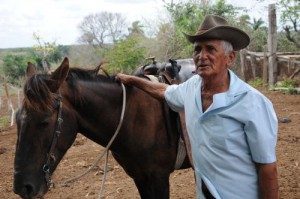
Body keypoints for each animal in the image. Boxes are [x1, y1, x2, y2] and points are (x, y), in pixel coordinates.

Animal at [13, 58, 190, 199]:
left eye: (44, 122)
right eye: (17, 120)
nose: (23, 187)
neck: (133, 117)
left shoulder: (158, 177)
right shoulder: (140, 178)